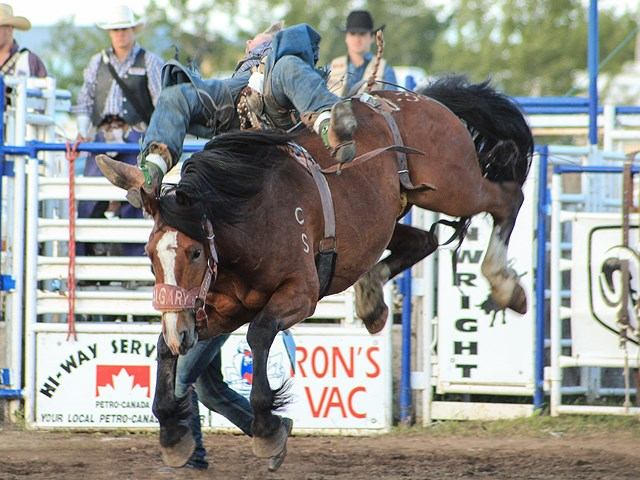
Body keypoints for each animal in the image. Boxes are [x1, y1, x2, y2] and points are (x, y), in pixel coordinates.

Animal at [96, 75, 533, 468]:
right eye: (150, 255)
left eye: (194, 252)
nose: (179, 330)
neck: (248, 217)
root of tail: (423, 100)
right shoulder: (222, 310)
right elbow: (163, 348)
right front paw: (173, 432)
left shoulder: (300, 294)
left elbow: (259, 334)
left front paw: (268, 429)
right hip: (392, 214)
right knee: (421, 241)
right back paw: (372, 303)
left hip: (454, 187)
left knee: (507, 199)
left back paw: (504, 284)